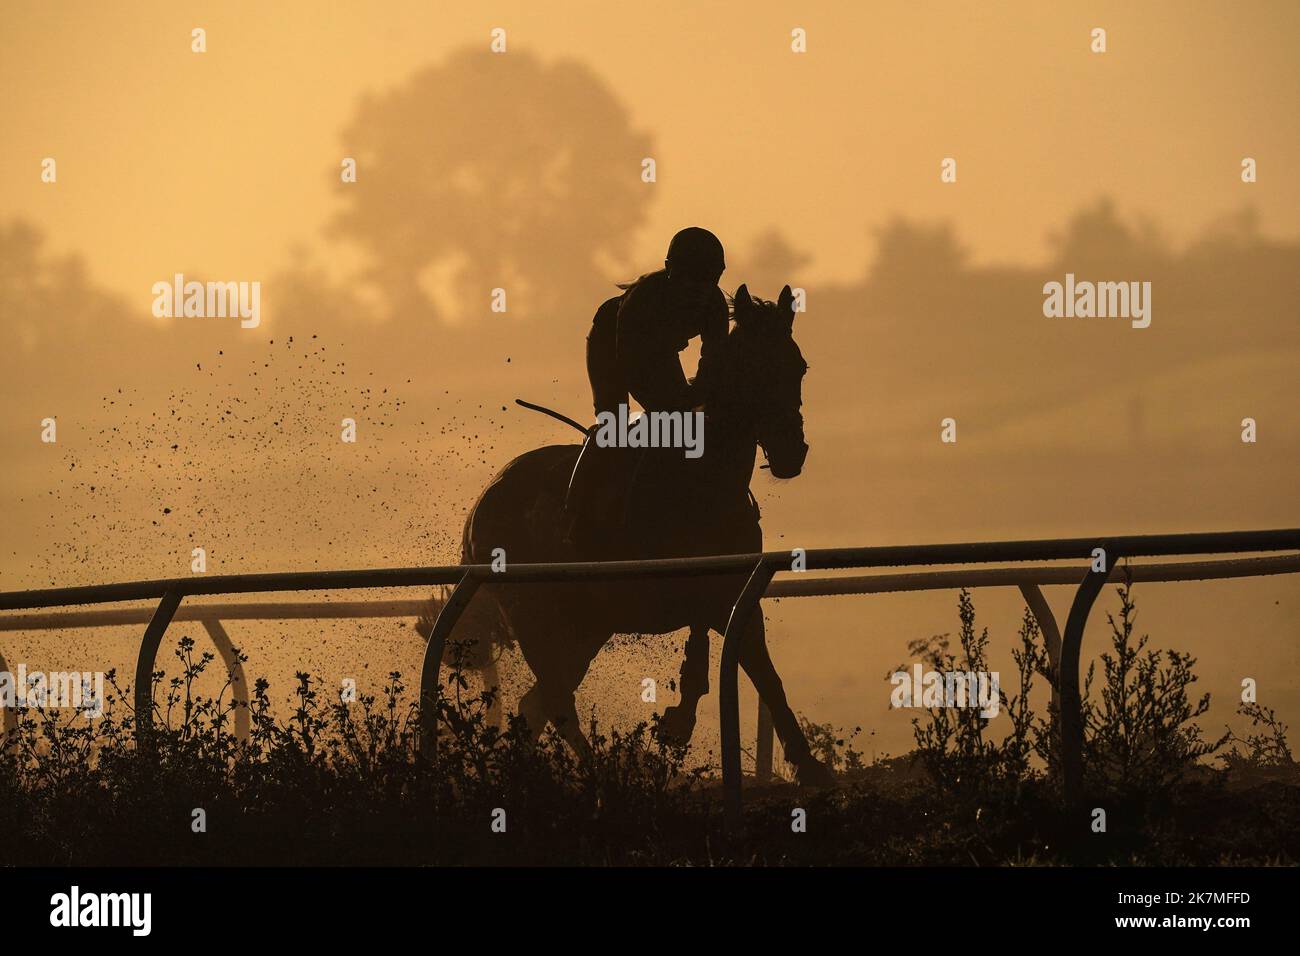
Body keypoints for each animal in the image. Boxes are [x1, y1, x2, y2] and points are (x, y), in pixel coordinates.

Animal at [452, 283, 834, 787]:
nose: (792, 451)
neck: (705, 481)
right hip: (536, 617)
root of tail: (480, 506)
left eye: (798, 366)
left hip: (587, 627)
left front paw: (809, 765)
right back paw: (600, 775)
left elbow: (765, 676)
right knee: (554, 700)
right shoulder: (677, 591)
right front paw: (679, 720)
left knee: (536, 704)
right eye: (753, 368)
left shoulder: (735, 595)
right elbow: (705, 652)